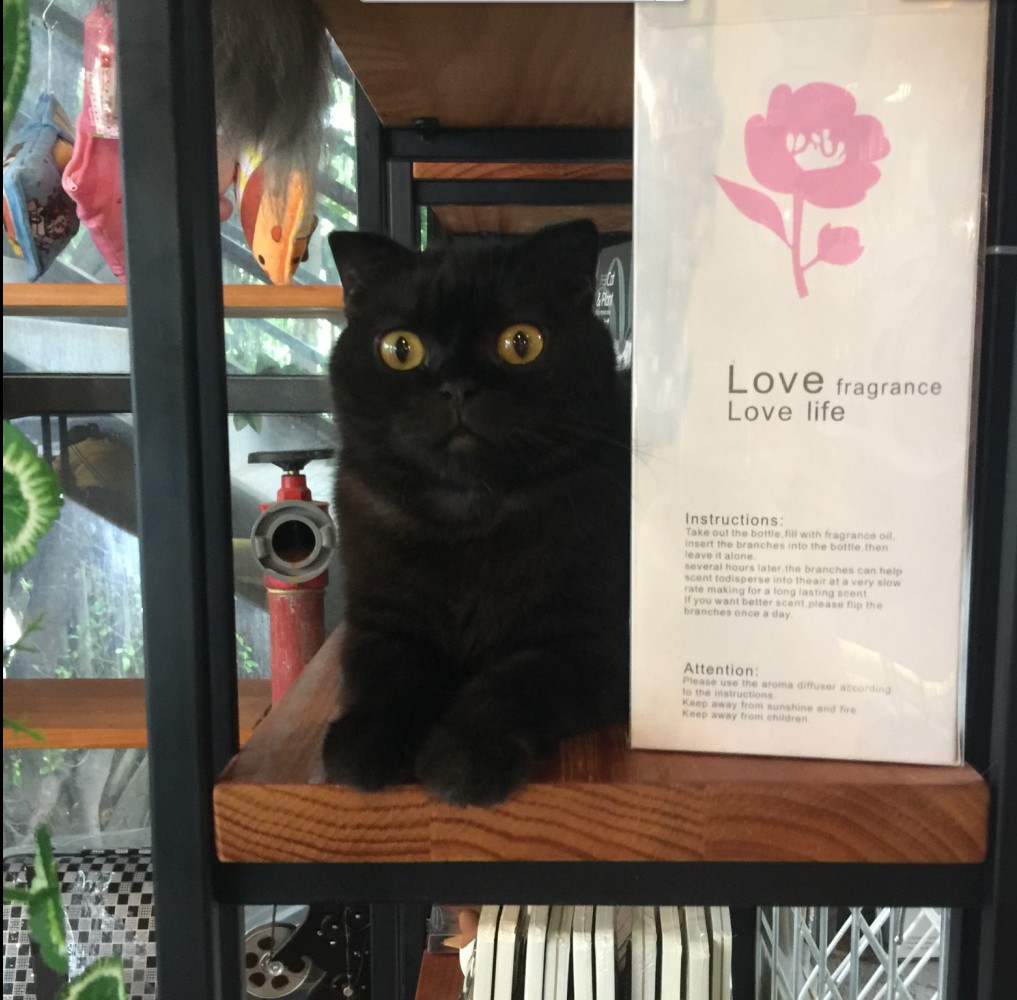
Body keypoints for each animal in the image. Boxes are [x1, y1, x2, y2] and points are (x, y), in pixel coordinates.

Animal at [321, 219, 630, 807]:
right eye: (400, 348)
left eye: (521, 343)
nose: (457, 385)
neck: (465, 516)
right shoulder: (378, 624)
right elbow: (391, 677)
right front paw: (363, 742)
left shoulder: (592, 641)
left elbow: (514, 680)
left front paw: (462, 758)